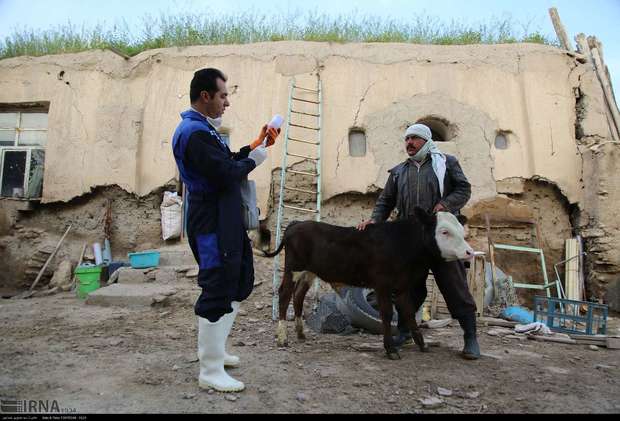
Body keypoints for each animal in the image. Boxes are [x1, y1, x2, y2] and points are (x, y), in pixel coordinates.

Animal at [264, 207, 472, 358]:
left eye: (461, 230)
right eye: (444, 231)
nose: (469, 252)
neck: (402, 244)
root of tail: (296, 224)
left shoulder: (402, 286)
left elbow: (409, 314)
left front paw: (422, 344)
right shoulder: (382, 284)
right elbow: (387, 314)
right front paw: (390, 350)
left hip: (309, 272)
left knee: (298, 296)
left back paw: (300, 333)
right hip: (293, 268)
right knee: (284, 295)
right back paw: (282, 337)